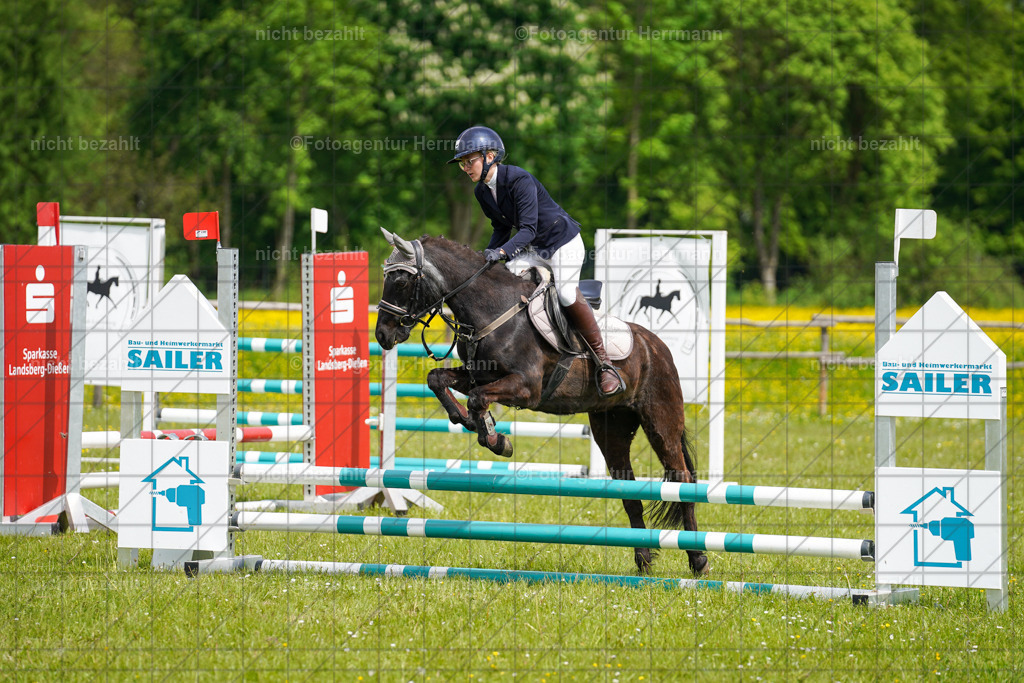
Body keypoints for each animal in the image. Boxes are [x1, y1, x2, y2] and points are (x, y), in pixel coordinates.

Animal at [374, 230, 708, 577]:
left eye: (401, 281)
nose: (382, 335)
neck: (491, 310)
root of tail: (656, 345)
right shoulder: (479, 375)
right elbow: (437, 379)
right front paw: (470, 422)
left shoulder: (526, 388)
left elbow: (479, 399)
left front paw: (494, 438)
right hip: (612, 428)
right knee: (628, 491)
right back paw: (643, 560)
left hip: (661, 422)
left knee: (682, 481)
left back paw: (697, 559)